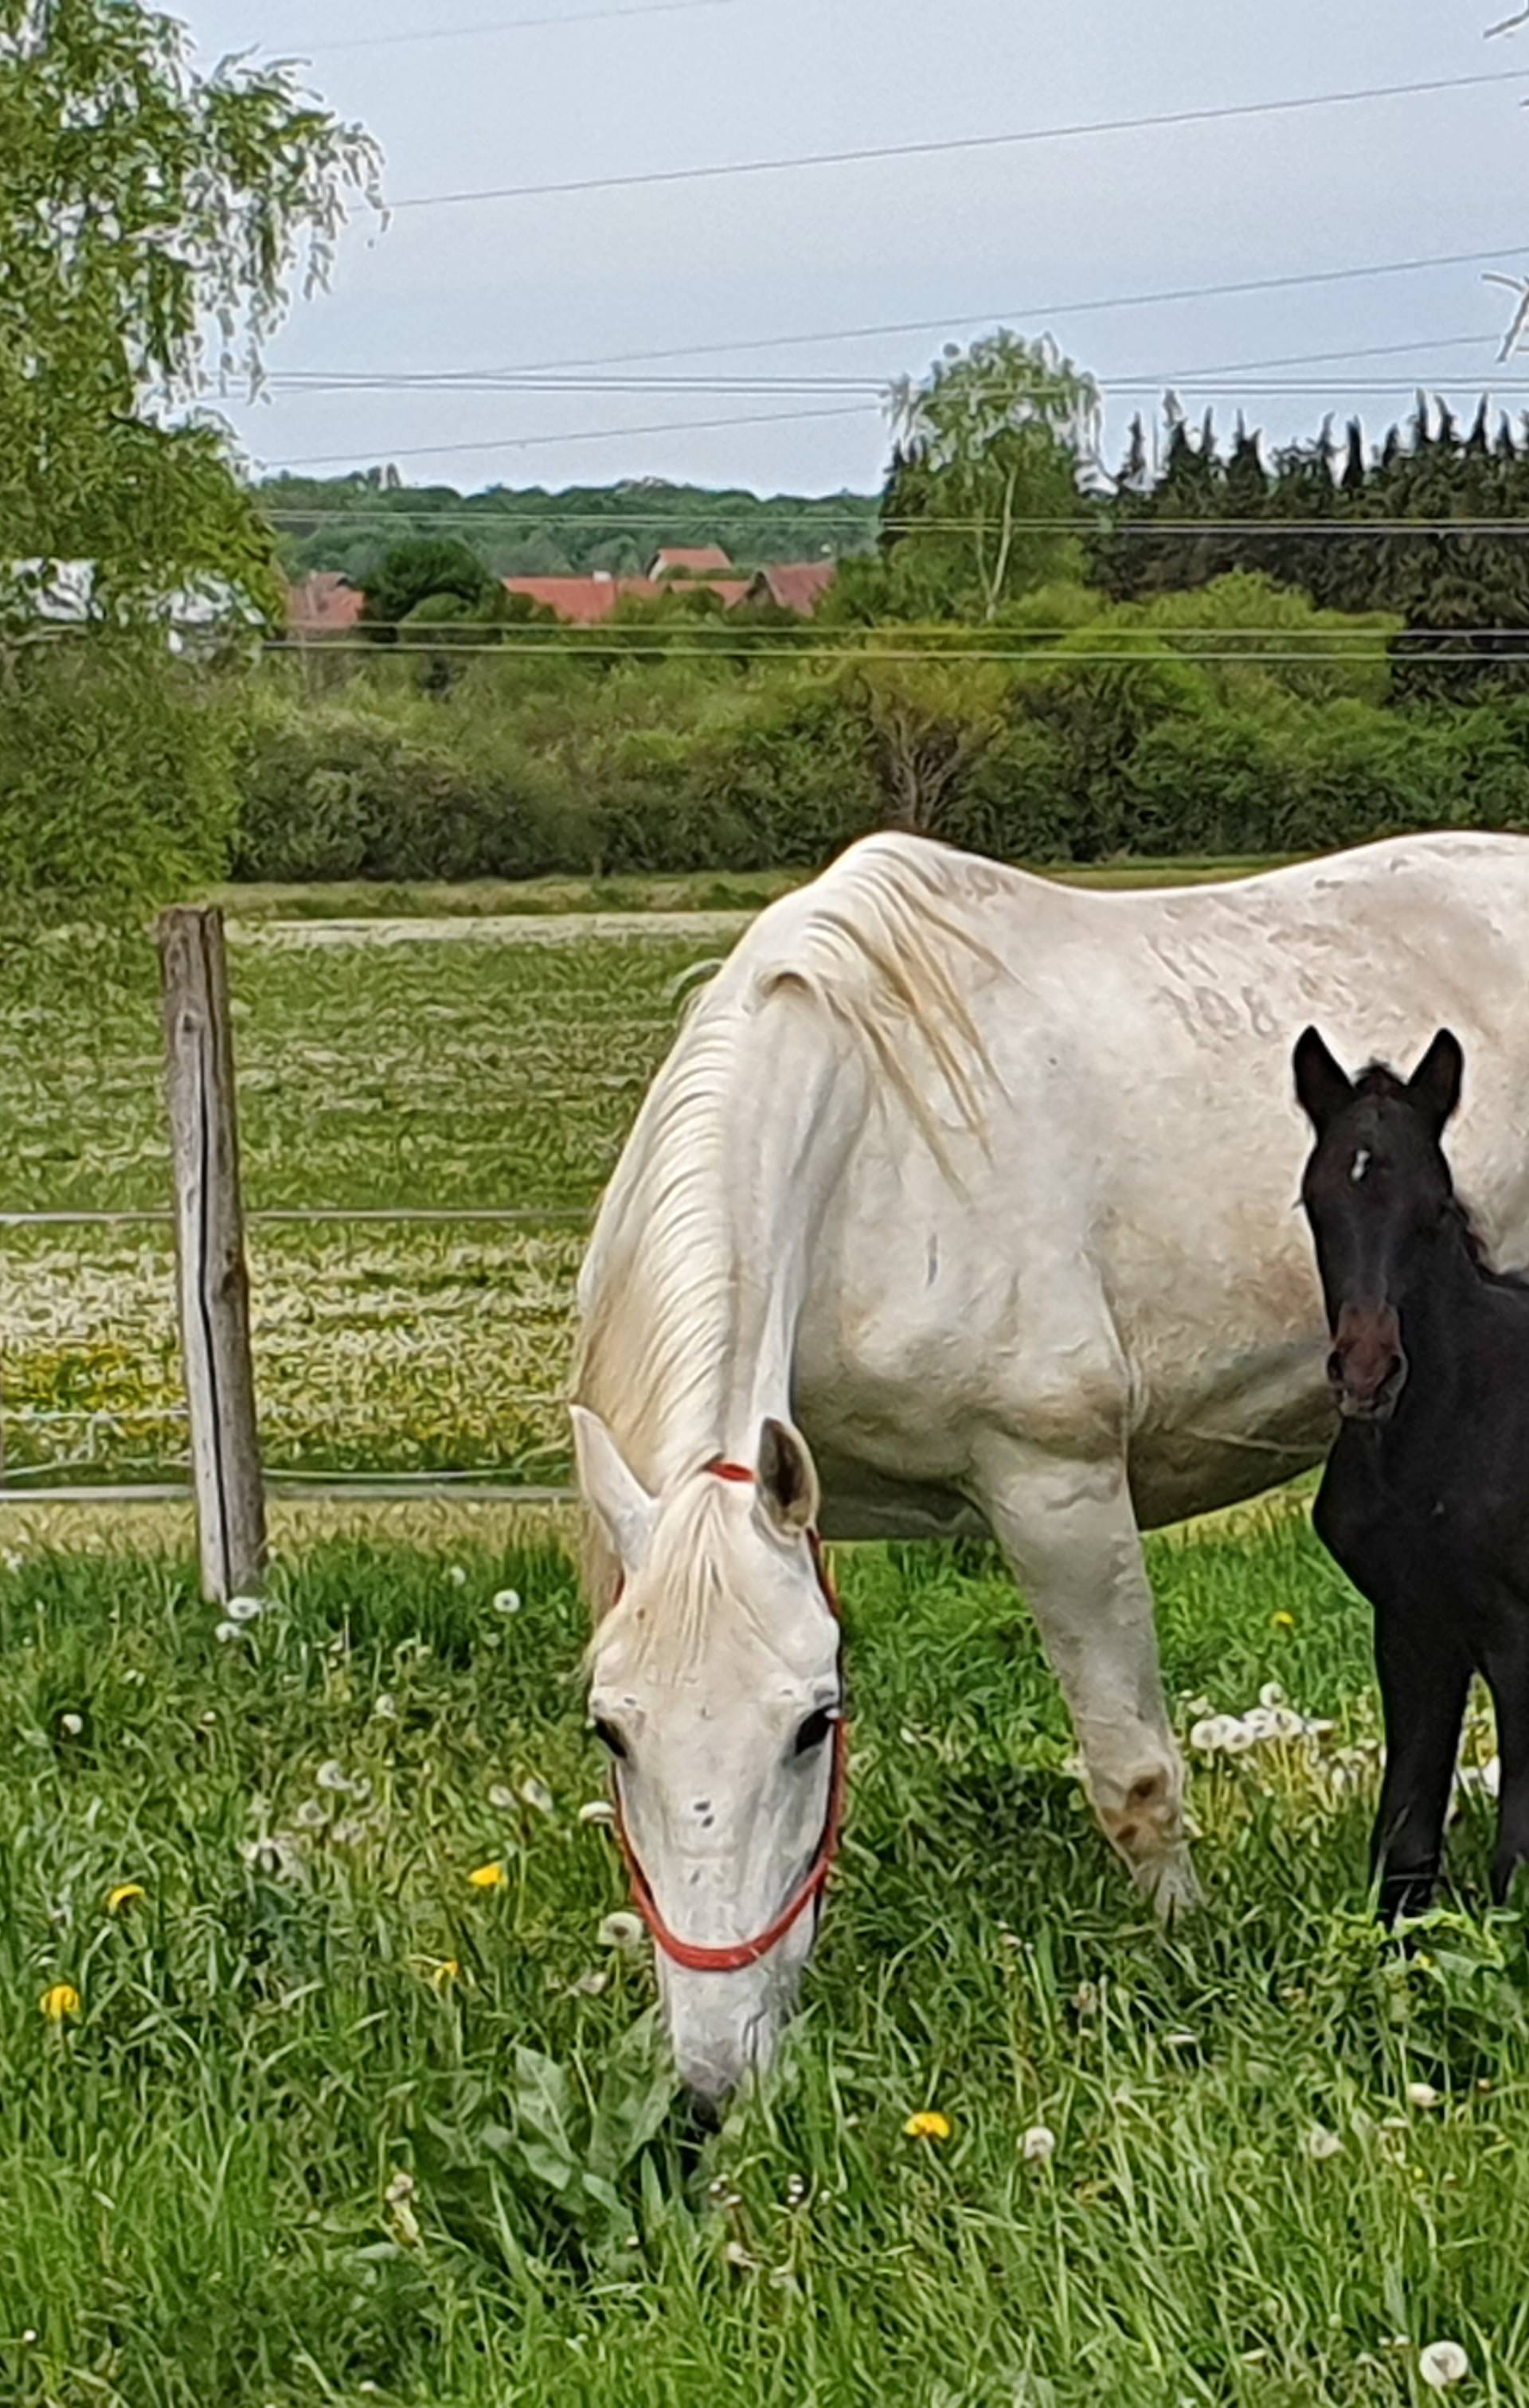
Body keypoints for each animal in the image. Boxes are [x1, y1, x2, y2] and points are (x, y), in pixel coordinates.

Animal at [1300, 1021, 1529, 1917]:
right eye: (1315, 1204)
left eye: (1436, 1209)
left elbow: (1516, 1851)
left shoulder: (1514, 1629)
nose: (1367, 1375)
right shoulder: (1410, 1624)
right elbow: (1402, 1839)